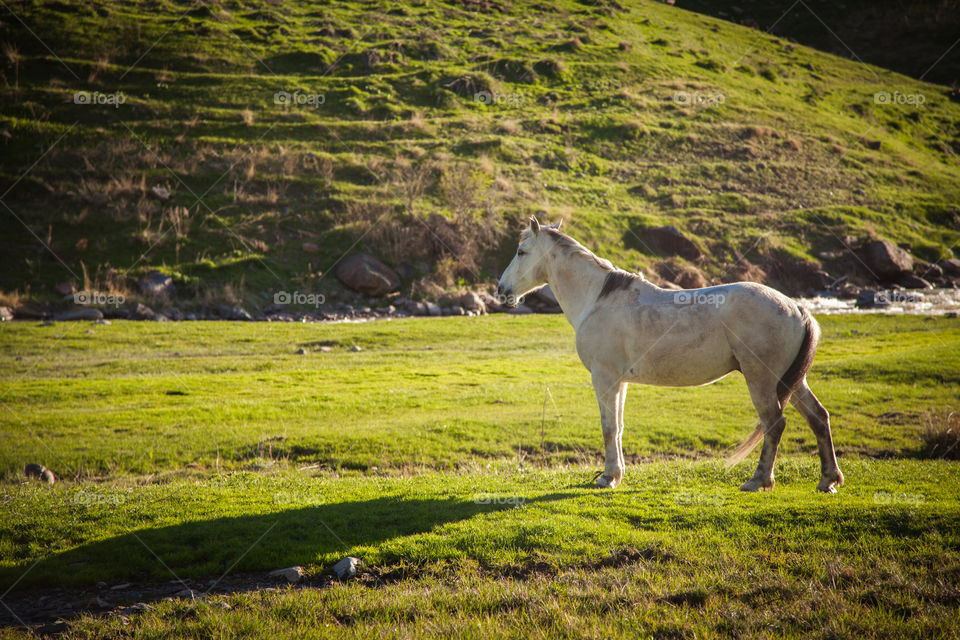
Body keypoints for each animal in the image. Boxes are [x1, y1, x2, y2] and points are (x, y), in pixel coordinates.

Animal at [498, 218, 844, 492]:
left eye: (521, 251)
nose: (501, 290)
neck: (598, 298)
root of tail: (796, 307)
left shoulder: (604, 378)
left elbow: (608, 427)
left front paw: (607, 478)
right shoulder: (620, 382)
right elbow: (618, 427)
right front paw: (616, 474)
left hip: (762, 380)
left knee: (774, 423)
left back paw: (759, 480)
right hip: (792, 381)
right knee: (819, 417)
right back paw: (828, 480)